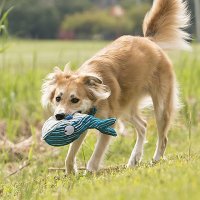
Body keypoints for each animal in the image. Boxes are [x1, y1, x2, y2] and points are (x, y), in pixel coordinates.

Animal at [41, 0, 191, 173]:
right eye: (58, 98)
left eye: (75, 99)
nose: (59, 116)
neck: (96, 99)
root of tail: (149, 40)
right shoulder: (82, 123)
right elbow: (69, 155)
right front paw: (71, 173)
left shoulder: (108, 124)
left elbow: (96, 155)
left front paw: (90, 172)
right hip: (125, 108)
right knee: (143, 126)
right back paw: (134, 158)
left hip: (160, 107)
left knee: (163, 137)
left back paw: (156, 159)